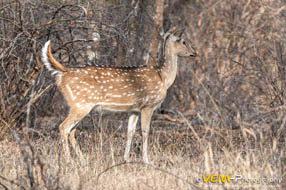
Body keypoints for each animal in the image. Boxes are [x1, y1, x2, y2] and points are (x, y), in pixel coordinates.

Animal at [41, 28, 196, 163]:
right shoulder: (148, 105)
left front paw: (125, 158)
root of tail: (63, 73)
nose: (194, 53)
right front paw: (146, 160)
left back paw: (83, 160)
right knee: (63, 127)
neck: (163, 78)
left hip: (80, 106)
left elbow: (130, 132)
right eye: (183, 41)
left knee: (72, 130)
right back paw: (69, 161)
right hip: (80, 104)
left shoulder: (134, 109)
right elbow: (145, 131)